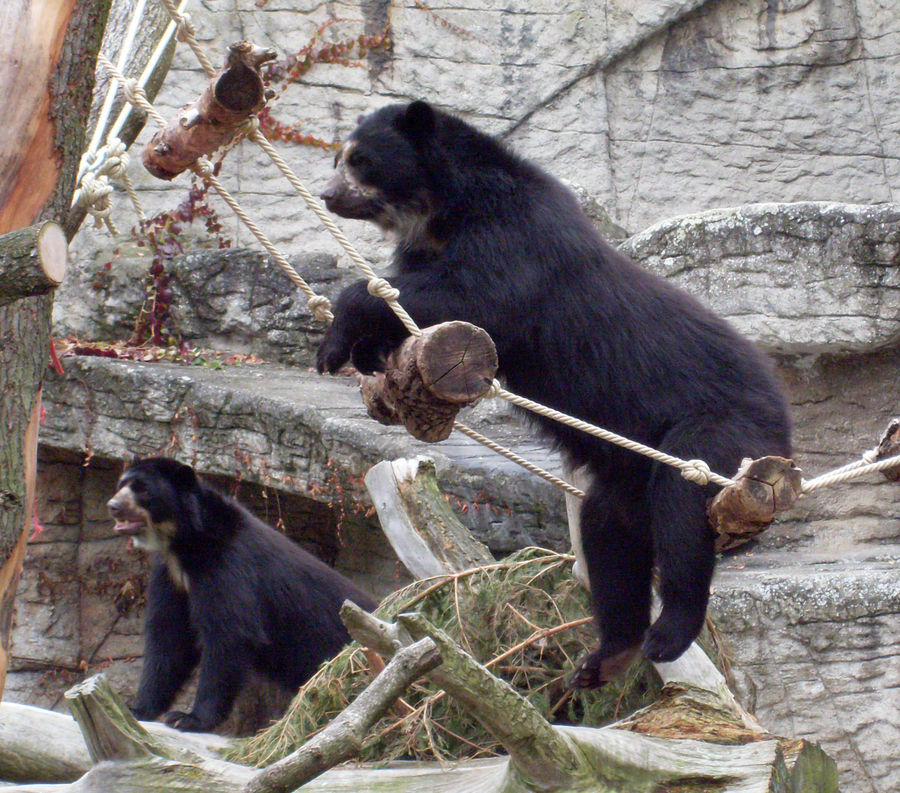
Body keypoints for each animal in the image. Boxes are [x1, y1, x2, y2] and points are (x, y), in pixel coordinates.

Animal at [108, 458, 376, 732]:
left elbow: (228, 635)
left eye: (142, 489)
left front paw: (189, 718)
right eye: (121, 484)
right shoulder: (171, 576)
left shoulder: (227, 567)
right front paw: (137, 709)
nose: (113, 507)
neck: (186, 543)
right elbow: (169, 636)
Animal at [314, 102, 788, 688]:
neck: (441, 211)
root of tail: (781, 410)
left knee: (682, 509)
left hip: (719, 427)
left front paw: (335, 340)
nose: (327, 194)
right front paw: (368, 354)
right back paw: (609, 654)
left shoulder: (518, 236)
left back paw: (669, 632)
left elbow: (472, 296)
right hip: (629, 473)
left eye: (362, 159)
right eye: (338, 158)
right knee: (610, 534)